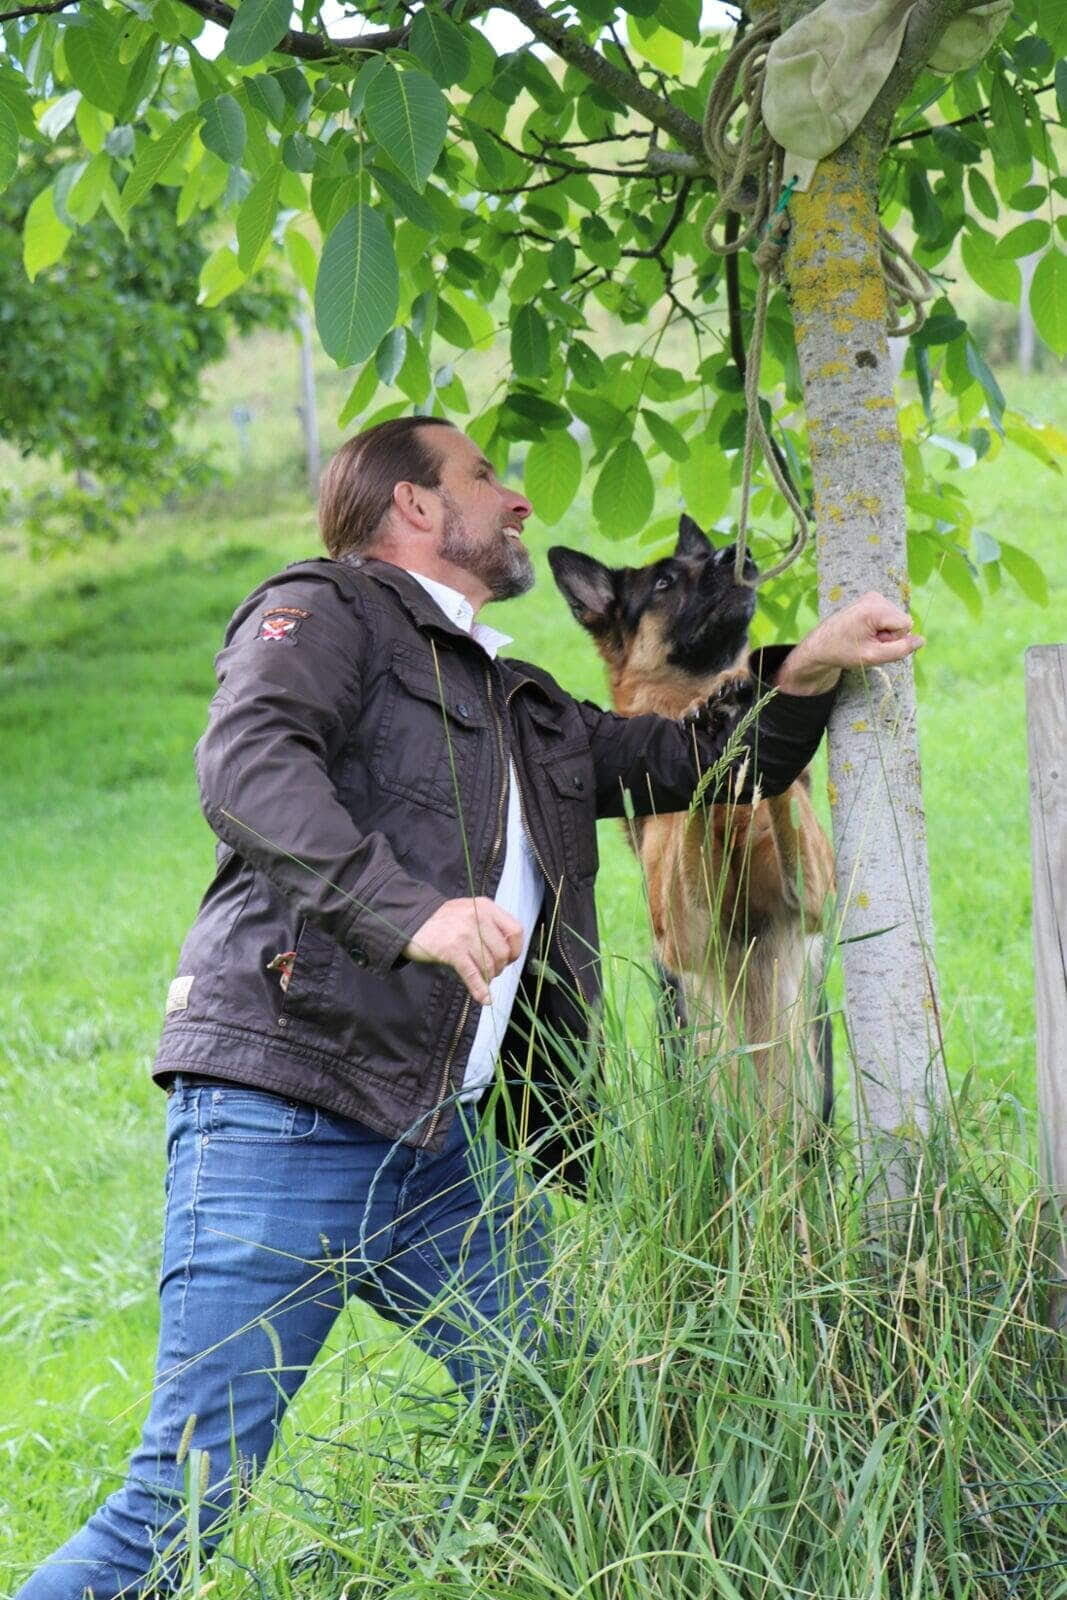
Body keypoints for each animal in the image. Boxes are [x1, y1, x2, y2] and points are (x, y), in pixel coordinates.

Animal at [550, 518, 831, 1132]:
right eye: (664, 583)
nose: (736, 555)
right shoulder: (685, 935)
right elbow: (690, 808)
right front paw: (709, 726)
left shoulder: (812, 893)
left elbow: (778, 785)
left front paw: (750, 703)